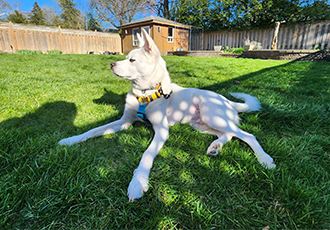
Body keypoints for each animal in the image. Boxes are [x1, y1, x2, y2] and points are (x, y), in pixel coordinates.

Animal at [58, 28, 274, 200]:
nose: (111, 64)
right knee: (229, 134)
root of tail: (226, 100)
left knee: (247, 135)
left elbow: (146, 154)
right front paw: (70, 139)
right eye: (126, 58)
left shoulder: (161, 131)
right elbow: (93, 130)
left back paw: (264, 159)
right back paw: (215, 146)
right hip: (200, 124)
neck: (144, 94)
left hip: (211, 116)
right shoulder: (124, 122)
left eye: (132, 60)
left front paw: (138, 181)